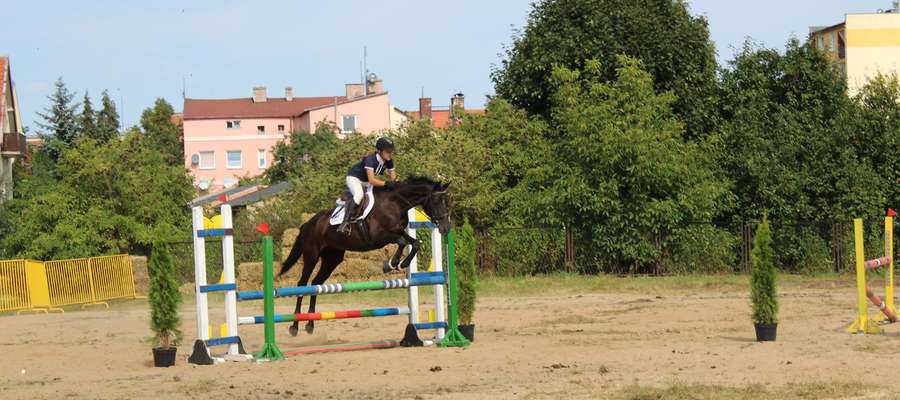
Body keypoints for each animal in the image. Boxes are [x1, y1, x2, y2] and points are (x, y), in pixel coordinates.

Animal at [278, 176, 451, 336]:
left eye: (446, 201)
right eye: (437, 201)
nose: (446, 228)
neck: (396, 203)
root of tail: (308, 223)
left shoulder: (398, 231)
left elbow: (415, 243)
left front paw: (395, 264)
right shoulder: (379, 237)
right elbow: (403, 241)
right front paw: (394, 263)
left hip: (332, 258)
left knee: (316, 283)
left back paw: (310, 324)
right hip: (312, 255)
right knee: (303, 284)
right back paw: (294, 326)